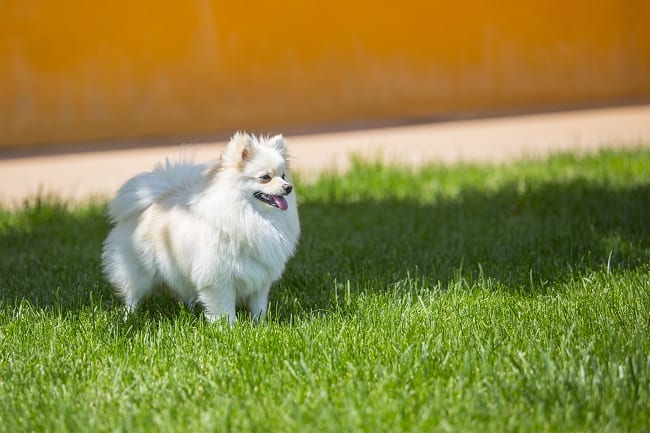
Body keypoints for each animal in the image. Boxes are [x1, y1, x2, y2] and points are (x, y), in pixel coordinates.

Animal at [101, 132, 298, 324]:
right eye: (265, 177)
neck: (253, 217)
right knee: (132, 295)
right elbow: (225, 309)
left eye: (283, 176)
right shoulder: (219, 280)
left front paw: (261, 325)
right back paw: (129, 317)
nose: (288, 187)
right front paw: (229, 328)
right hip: (138, 271)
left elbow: (259, 306)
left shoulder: (260, 279)